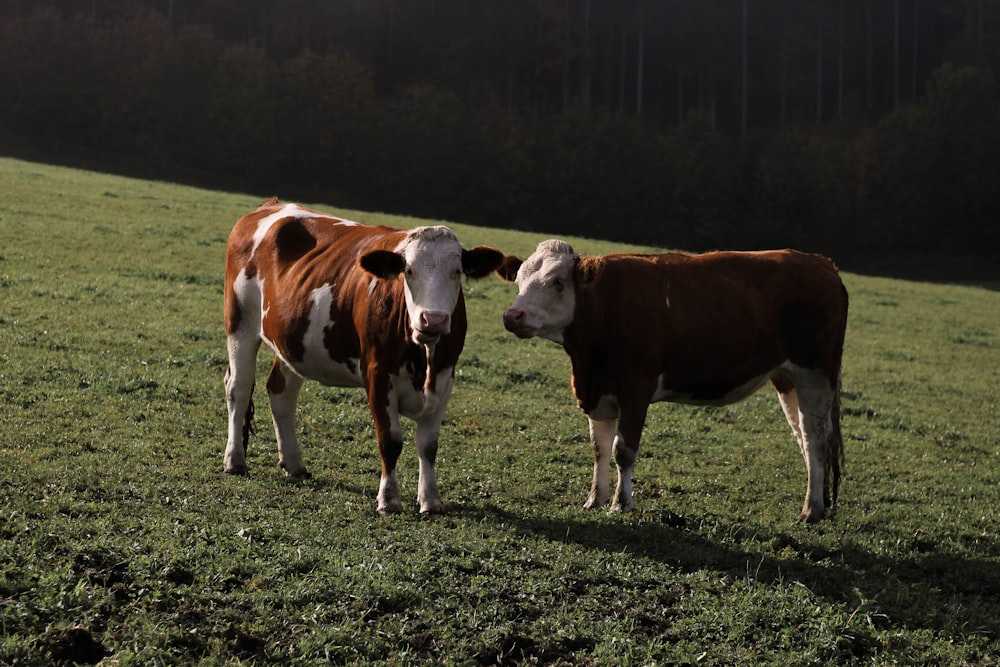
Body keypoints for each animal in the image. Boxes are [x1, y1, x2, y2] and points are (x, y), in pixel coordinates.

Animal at [224, 198, 504, 516]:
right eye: (408, 270)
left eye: (457, 271)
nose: (433, 319)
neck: (423, 361)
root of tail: (272, 205)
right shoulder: (377, 373)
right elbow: (390, 440)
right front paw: (389, 499)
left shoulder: (446, 377)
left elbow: (429, 445)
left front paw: (430, 500)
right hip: (240, 323)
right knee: (238, 388)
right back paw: (234, 460)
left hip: (293, 342)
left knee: (281, 392)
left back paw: (294, 463)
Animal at [496, 243, 848, 524]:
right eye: (519, 279)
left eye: (557, 282)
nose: (512, 315)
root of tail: (821, 263)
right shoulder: (597, 392)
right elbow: (599, 447)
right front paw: (595, 499)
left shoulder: (636, 388)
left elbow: (623, 450)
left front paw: (621, 503)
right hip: (787, 378)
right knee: (803, 436)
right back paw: (815, 503)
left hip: (815, 374)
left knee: (816, 437)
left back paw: (811, 510)